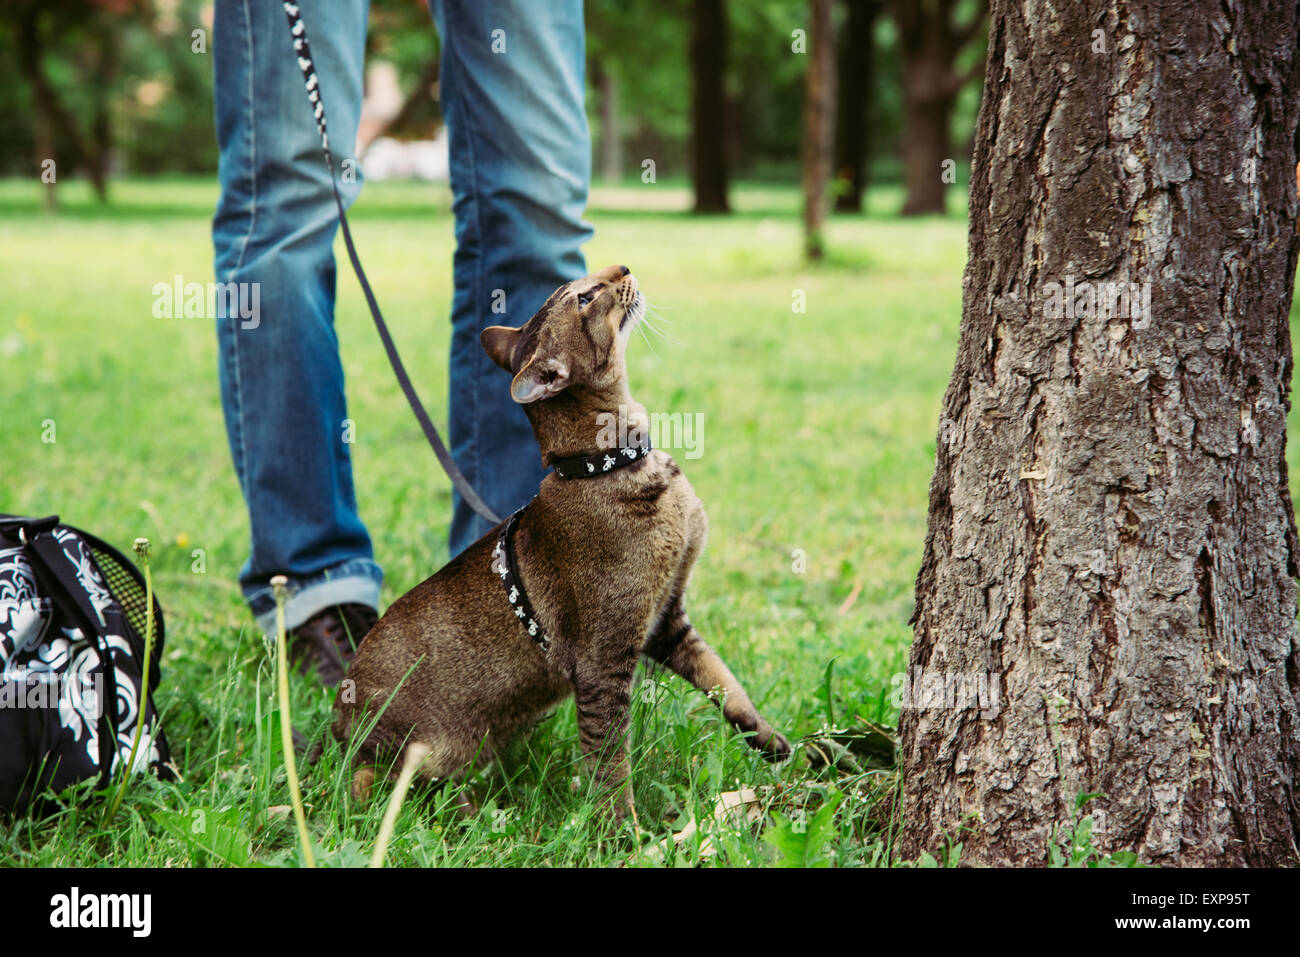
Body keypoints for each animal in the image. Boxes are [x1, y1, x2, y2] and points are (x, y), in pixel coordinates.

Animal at [330, 265, 785, 816]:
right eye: (586, 298)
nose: (623, 267)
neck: (602, 464)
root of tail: (335, 720)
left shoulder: (666, 618)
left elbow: (723, 681)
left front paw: (768, 738)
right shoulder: (603, 660)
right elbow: (609, 762)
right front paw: (623, 829)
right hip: (411, 754)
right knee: (365, 783)